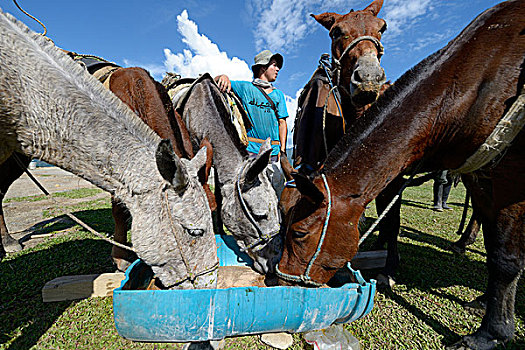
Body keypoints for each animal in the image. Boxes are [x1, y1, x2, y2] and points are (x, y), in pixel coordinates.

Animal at [276, 1, 520, 348]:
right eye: (336, 32)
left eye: (383, 27)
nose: (281, 278)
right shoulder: (480, 170)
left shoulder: (505, 173)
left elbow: (504, 256)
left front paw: (490, 333)